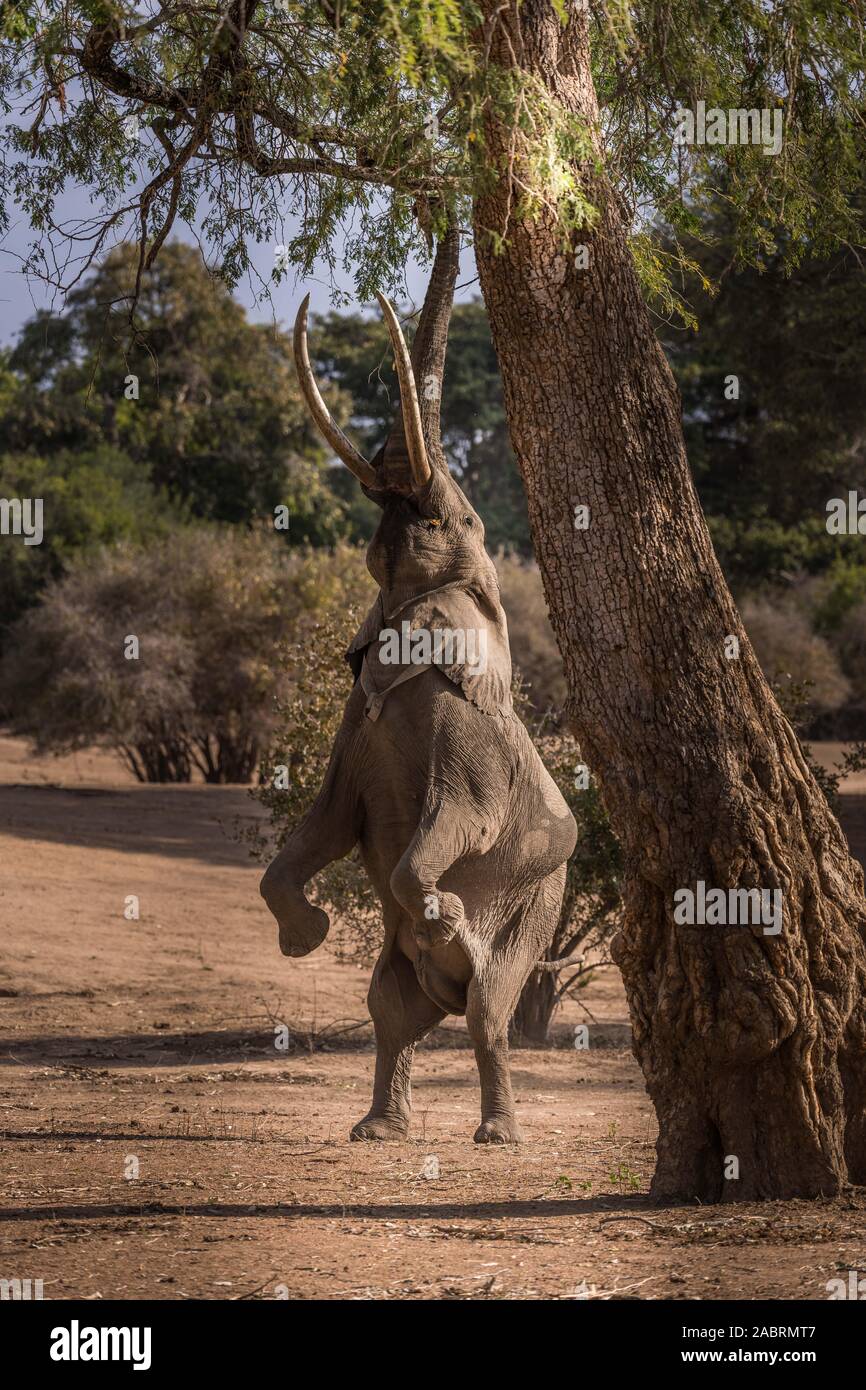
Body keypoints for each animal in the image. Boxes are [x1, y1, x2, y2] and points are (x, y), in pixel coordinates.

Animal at [260, 228, 577, 1144]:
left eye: (451, 521)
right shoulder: (354, 730)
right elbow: (319, 828)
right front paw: (306, 936)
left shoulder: (467, 746)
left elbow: (445, 834)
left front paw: (447, 916)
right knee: (390, 1008)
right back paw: (378, 1128)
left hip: (541, 901)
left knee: (487, 1011)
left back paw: (495, 1128)